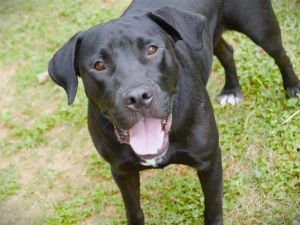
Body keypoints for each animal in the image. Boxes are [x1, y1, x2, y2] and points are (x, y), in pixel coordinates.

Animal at [48, 0, 298, 224]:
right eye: (98, 65)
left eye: (152, 49)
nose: (137, 97)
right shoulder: (122, 172)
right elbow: (134, 212)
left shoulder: (210, 161)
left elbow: (213, 209)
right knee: (227, 51)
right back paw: (231, 89)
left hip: (260, 26)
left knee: (281, 54)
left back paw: (292, 88)